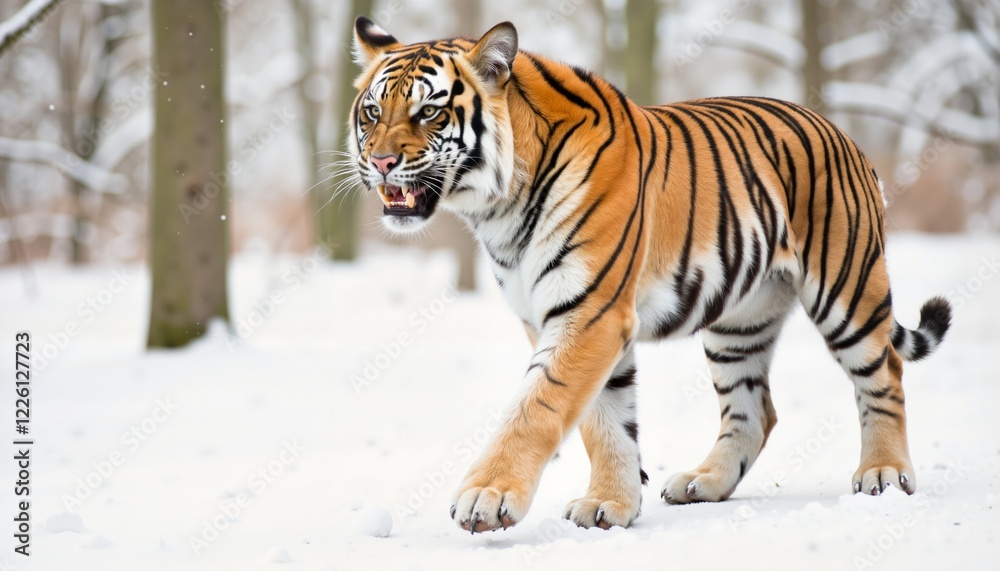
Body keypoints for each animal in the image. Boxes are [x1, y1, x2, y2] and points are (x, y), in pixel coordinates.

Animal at [346, 17, 952, 533]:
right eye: (372, 112)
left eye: (428, 113)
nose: (378, 162)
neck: (496, 207)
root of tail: (839, 130)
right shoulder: (560, 315)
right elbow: (603, 419)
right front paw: (610, 505)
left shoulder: (589, 312)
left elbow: (538, 406)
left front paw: (488, 496)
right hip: (739, 323)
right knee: (755, 409)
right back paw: (704, 483)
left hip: (846, 290)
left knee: (885, 372)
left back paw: (883, 475)